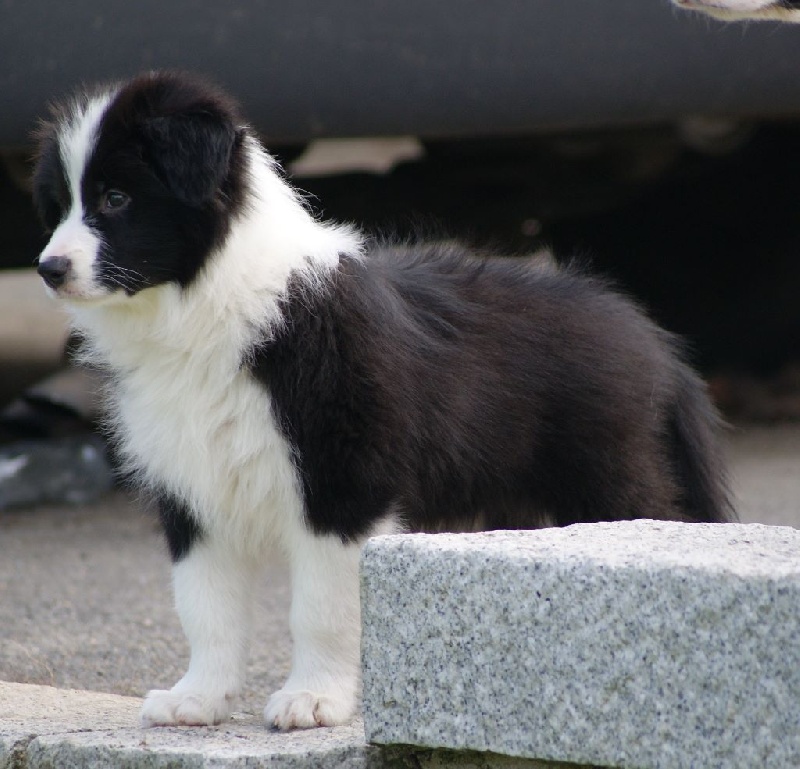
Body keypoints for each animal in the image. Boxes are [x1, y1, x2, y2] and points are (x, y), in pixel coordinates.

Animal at [29, 73, 732, 732]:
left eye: (116, 199)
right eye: (59, 206)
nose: (47, 269)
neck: (209, 306)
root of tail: (651, 338)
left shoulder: (344, 479)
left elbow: (321, 607)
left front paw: (313, 700)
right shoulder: (192, 487)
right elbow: (205, 605)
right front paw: (197, 699)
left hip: (608, 474)